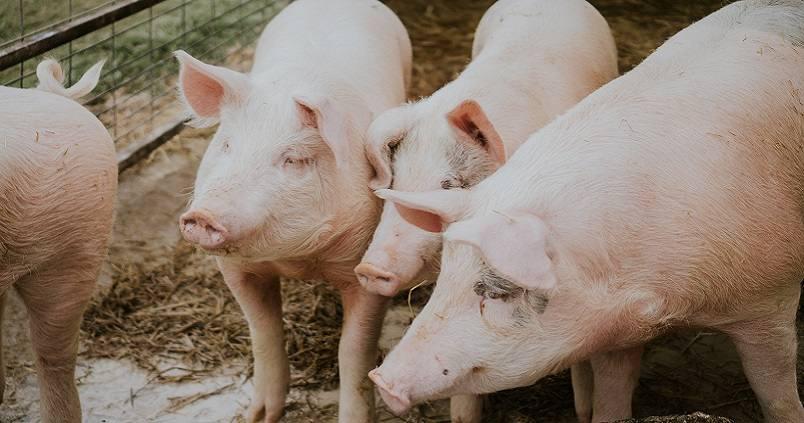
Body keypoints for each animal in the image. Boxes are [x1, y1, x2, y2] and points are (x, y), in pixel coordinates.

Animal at [174, 0, 411, 421]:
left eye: (294, 159)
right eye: (227, 144)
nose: (203, 216)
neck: (298, 260)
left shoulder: (367, 268)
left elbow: (355, 351)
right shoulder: (235, 269)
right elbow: (263, 331)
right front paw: (258, 416)